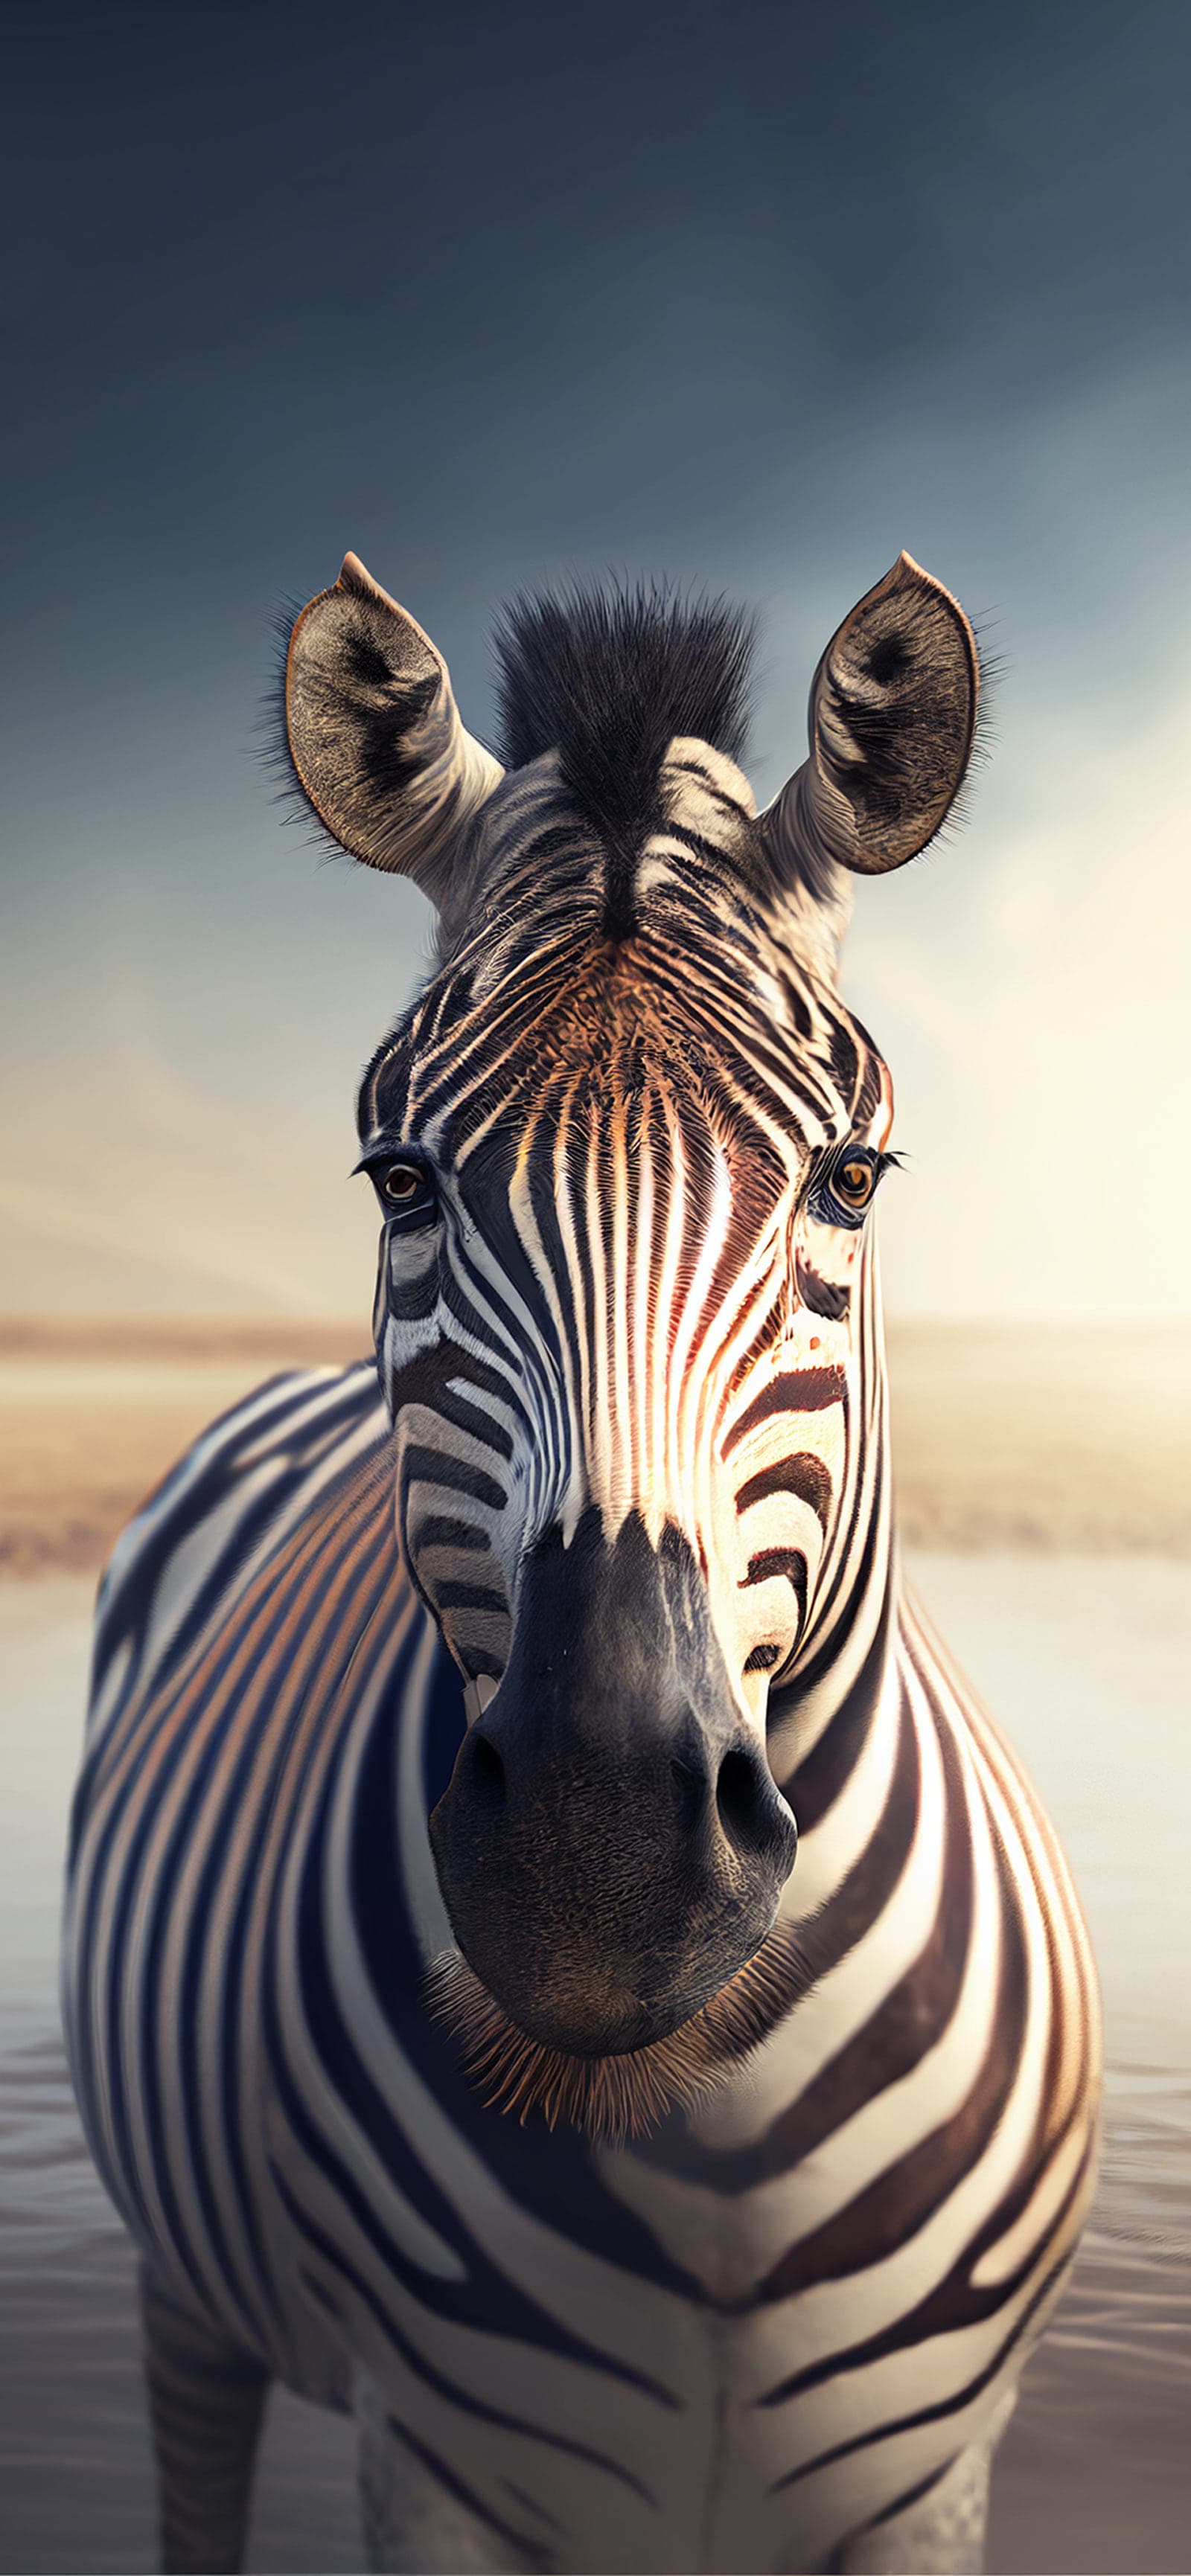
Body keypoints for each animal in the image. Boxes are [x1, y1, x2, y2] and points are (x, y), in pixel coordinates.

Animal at [63, 548, 1101, 2575]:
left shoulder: (930, 2476)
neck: (707, 2122)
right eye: (399, 1180)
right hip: (185, 2289)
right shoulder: (440, 2466)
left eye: (849, 1181)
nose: (598, 1861)